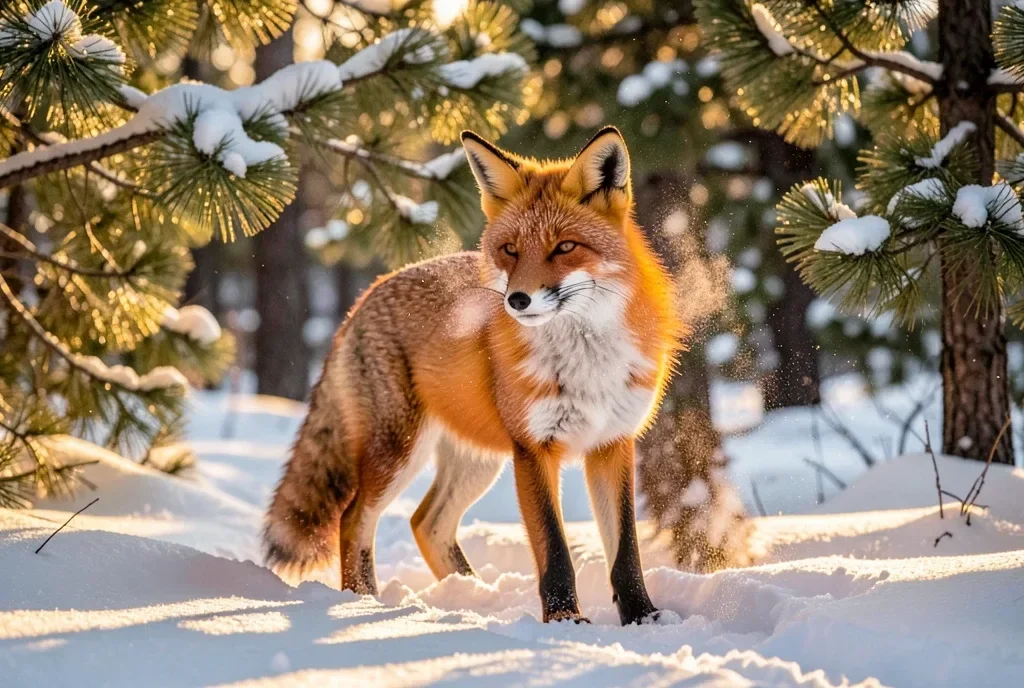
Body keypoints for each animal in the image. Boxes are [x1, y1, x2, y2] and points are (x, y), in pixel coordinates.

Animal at [263, 126, 683, 625]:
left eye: (565, 247)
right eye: (511, 250)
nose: (518, 300)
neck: (587, 363)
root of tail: (365, 296)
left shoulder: (613, 443)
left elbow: (626, 552)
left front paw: (643, 616)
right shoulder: (533, 448)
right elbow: (555, 549)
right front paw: (564, 619)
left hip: (476, 461)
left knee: (425, 522)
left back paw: (471, 593)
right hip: (401, 451)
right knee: (353, 518)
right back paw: (363, 600)